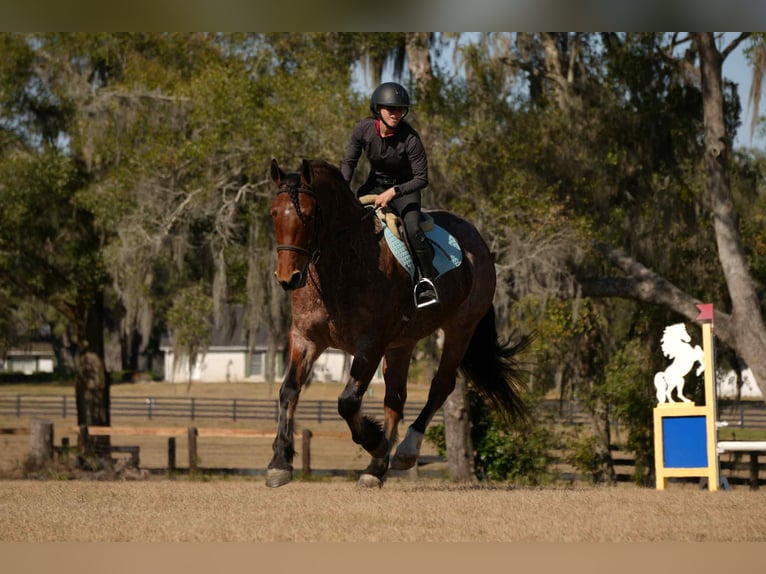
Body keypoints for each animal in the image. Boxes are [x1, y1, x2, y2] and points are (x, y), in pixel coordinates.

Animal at [266, 158, 530, 488]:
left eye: (311, 215)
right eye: (274, 213)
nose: (288, 278)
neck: (342, 262)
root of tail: (477, 241)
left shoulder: (370, 344)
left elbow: (348, 401)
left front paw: (376, 441)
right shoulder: (306, 339)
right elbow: (288, 390)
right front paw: (279, 462)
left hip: (460, 329)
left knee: (440, 386)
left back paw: (404, 450)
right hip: (402, 343)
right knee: (396, 398)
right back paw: (374, 470)